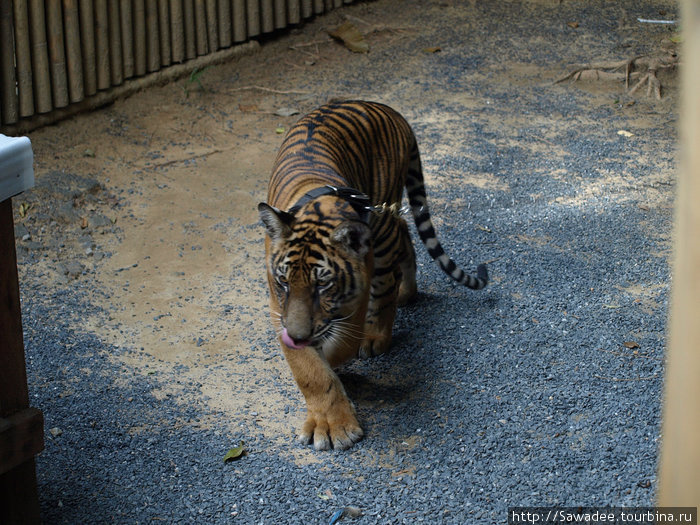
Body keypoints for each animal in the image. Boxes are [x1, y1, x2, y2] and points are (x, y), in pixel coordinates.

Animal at [258, 99, 486, 450]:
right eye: (284, 282)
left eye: (323, 284)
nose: (297, 337)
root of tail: (389, 110)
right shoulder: (278, 308)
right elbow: (310, 372)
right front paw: (330, 421)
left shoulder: (355, 297)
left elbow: (342, 345)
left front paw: (338, 422)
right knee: (404, 229)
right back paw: (407, 294)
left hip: (382, 222)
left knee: (390, 277)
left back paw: (380, 331)